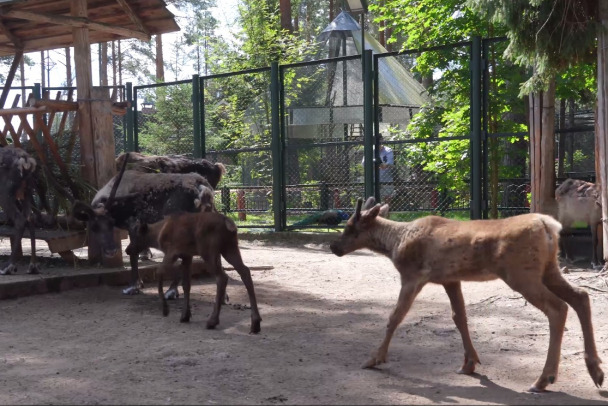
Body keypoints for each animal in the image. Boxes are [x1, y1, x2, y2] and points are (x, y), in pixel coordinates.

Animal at [128, 209, 262, 334]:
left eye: (136, 236)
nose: (127, 250)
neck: (158, 235)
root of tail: (228, 223)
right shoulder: (187, 256)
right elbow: (186, 284)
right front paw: (185, 315)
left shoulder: (172, 251)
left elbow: (160, 272)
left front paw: (165, 309)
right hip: (230, 248)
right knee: (245, 271)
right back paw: (255, 323)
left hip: (208, 250)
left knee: (222, 277)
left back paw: (212, 321)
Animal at [332, 197, 604, 394]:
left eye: (350, 228)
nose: (334, 247)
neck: (394, 243)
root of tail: (549, 226)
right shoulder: (450, 279)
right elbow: (459, 317)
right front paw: (469, 363)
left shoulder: (413, 275)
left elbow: (395, 316)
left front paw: (374, 358)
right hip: (548, 269)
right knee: (581, 296)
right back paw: (595, 370)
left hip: (521, 274)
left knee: (558, 308)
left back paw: (543, 379)